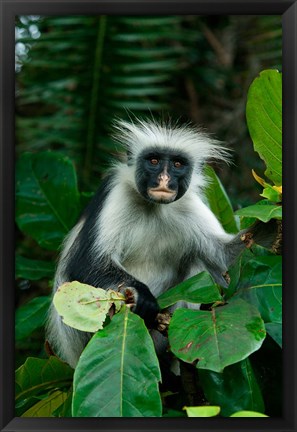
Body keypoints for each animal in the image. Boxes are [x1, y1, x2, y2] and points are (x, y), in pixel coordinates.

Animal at [46, 117, 272, 368]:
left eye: (177, 164)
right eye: (153, 161)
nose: (164, 179)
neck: (154, 207)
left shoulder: (188, 203)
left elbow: (223, 259)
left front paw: (270, 230)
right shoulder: (115, 192)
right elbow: (85, 263)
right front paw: (142, 295)